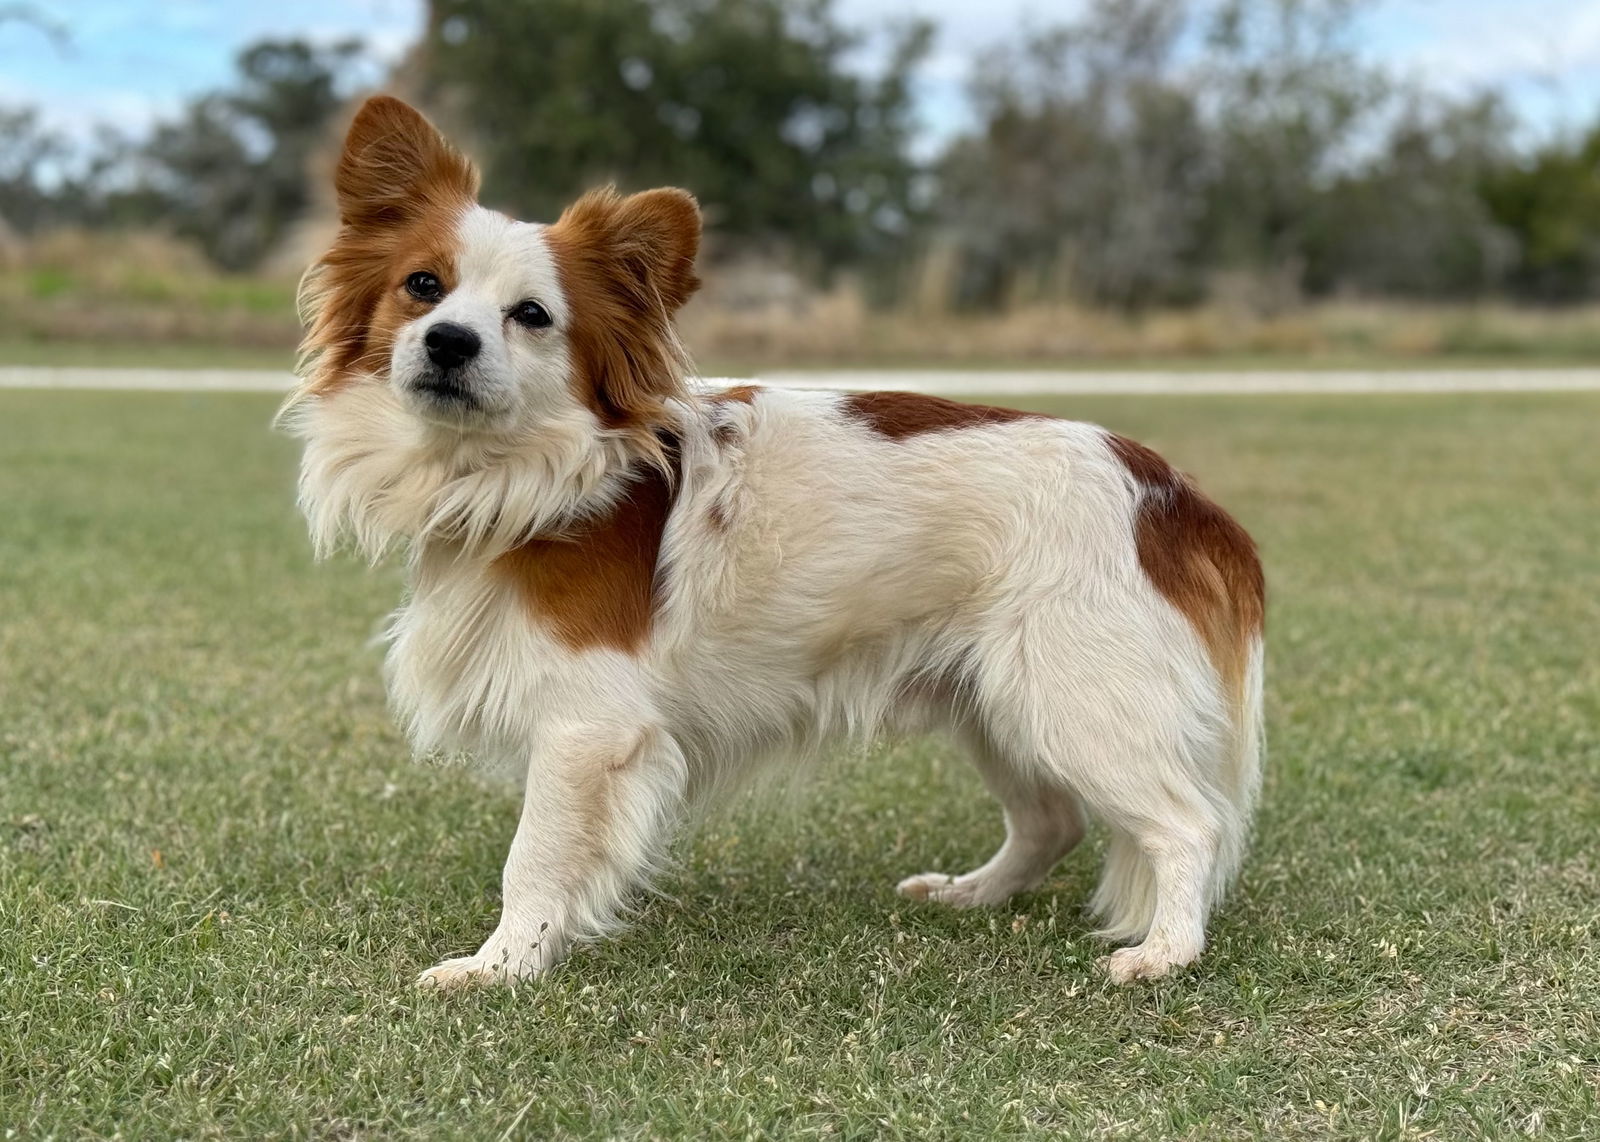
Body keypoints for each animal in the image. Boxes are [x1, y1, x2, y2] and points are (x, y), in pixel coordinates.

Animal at [281, 97, 1267, 985]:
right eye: (423, 286)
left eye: (531, 316)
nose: (448, 342)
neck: (523, 475)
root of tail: (1172, 492)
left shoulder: (586, 727)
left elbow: (535, 858)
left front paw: (503, 966)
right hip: (997, 701)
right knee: (1051, 822)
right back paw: (974, 894)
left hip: (1077, 700)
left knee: (1189, 825)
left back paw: (1166, 954)